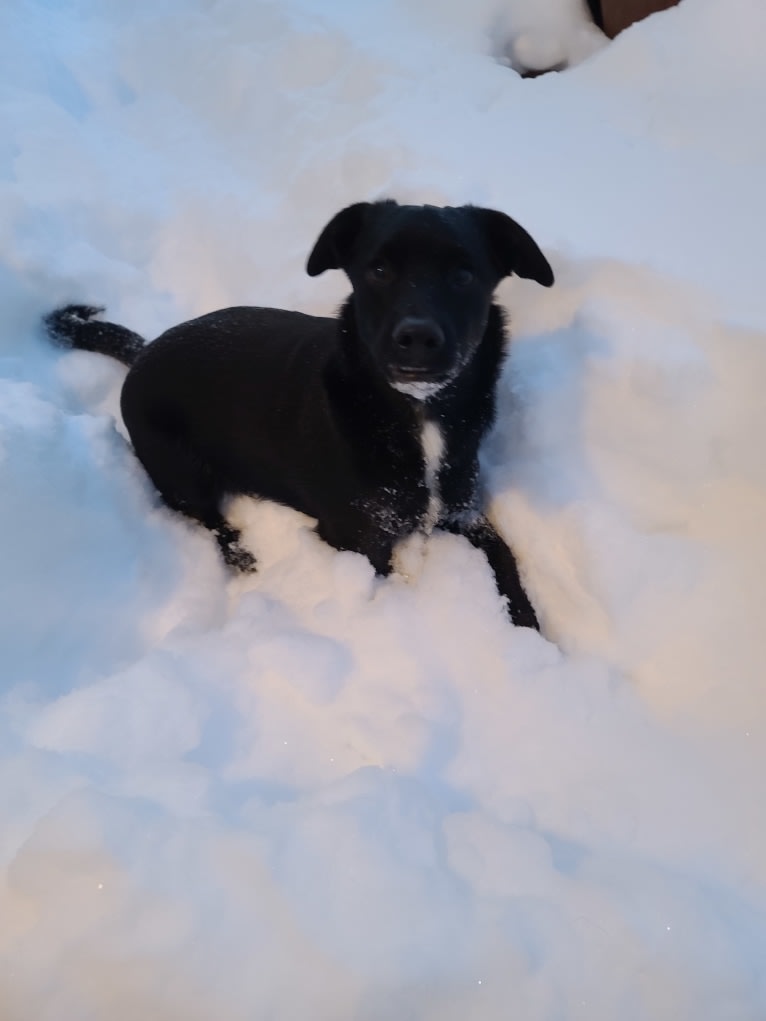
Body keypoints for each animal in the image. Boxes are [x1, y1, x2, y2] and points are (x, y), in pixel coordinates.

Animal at [44, 199, 555, 628]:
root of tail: (145, 350)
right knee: (208, 522)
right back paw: (242, 556)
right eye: (379, 269)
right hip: (179, 471)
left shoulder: (461, 512)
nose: (417, 338)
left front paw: (530, 630)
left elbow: (506, 559)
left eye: (464, 276)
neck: (415, 415)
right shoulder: (356, 538)